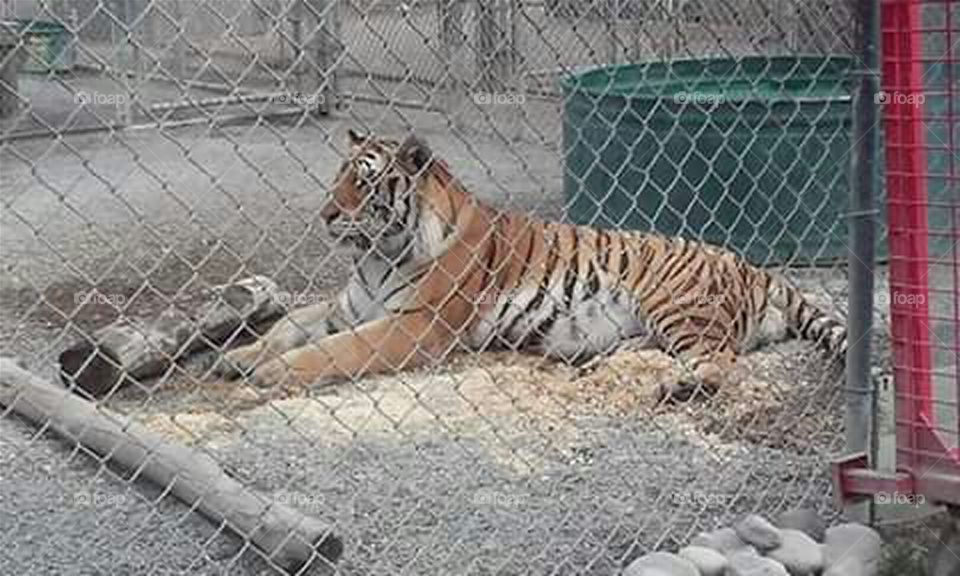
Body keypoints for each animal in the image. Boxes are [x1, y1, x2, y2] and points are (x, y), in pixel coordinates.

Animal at [214, 129, 844, 402]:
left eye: (364, 183)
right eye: (339, 175)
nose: (325, 214)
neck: (376, 254)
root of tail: (757, 269)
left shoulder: (415, 325)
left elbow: (331, 351)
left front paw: (271, 374)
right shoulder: (347, 306)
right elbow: (286, 325)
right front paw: (239, 358)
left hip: (679, 306)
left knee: (722, 362)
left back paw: (679, 387)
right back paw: (602, 364)